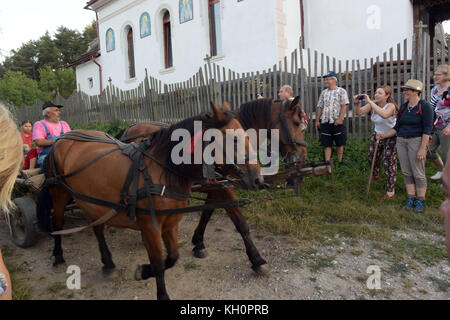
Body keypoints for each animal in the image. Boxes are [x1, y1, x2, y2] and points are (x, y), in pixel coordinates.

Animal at [37, 103, 262, 300]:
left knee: (98, 228)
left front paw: (144, 271)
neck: (161, 170)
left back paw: (107, 263)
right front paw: (160, 291)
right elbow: (158, 263)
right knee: (58, 224)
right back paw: (58, 255)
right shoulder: (150, 227)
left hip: (94, 202)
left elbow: (171, 258)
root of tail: (62, 139)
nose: (257, 178)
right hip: (59, 193)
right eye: (233, 139)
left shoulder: (170, 223)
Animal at [118, 97, 308, 272]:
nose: (302, 156)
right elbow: (240, 222)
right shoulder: (224, 188)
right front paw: (256, 258)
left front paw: (198, 242)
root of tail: (130, 129)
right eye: (296, 123)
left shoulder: (217, 186)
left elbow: (207, 212)